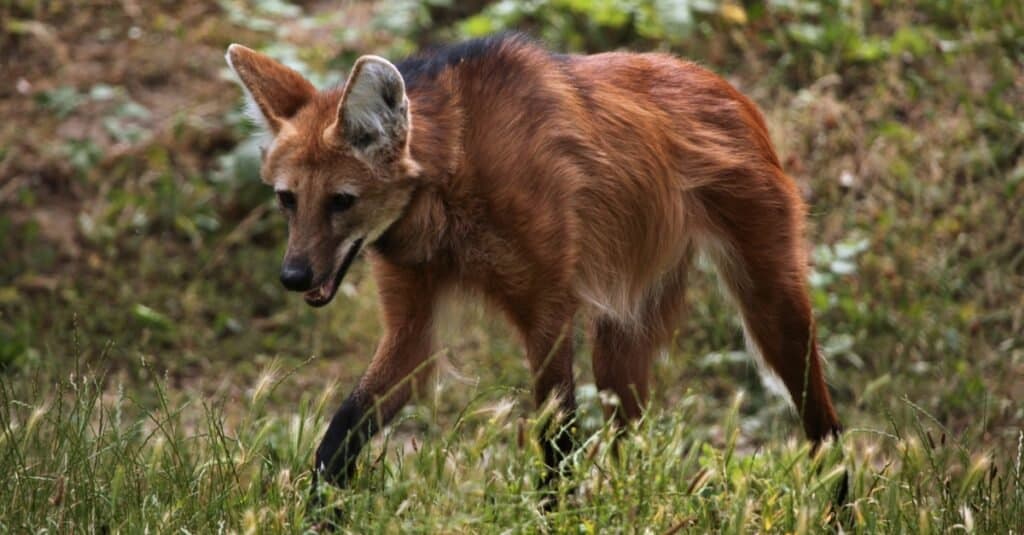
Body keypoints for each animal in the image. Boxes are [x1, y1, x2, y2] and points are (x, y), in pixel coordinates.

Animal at [222, 32, 839, 491]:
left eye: (341, 201)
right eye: (287, 199)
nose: (293, 276)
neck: (451, 180)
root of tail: (725, 85)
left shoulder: (547, 308)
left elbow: (556, 440)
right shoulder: (414, 322)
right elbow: (342, 432)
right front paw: (318, 512)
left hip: (770, 300)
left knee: (824, 426)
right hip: (620, 331)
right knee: (629, 440)